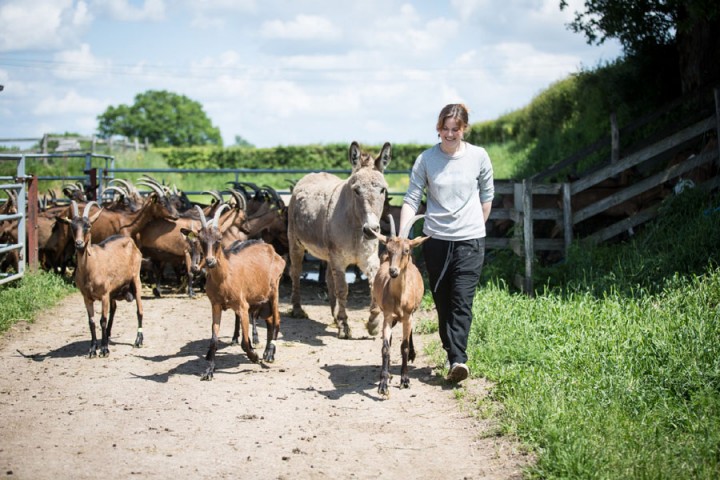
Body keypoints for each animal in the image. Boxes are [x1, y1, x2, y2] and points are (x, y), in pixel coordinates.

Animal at [62, 201, 146, 358]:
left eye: (88, 225)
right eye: (72, 226)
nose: (79, 243)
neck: (91, 267)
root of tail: (130, 240)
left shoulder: (104, 295)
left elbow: (102, 320)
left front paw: (104, 349)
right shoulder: (87, 297)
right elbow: (91, 322)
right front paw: (93, 349)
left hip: (135, 279)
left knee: (139, 310)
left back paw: (138, 340)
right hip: (114, 291)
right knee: (114, 310)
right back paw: (107, 336)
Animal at [180, 204, 286, 380]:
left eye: (219, 239)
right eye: (201, 240)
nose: (210, 261)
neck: (225, 277)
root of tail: (271, 249)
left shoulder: (242, 306)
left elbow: (244, 342)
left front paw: (254, 356)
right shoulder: (216, 305)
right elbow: (214, 340)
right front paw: (209, 371)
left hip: (274, 290)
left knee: (277, 319)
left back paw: (270, 354)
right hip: (261, 299)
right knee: (270, 320)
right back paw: (266, 352)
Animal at [372, 214, 428, 398]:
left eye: (406, 250)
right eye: (388, 250)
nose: (393, 272)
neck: (399, 299)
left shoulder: (408, 316)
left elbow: (403, 347)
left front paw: (405, 380)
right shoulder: (388, 316)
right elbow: (385, 347)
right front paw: (383, 383)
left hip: (410, 316)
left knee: (409, 335)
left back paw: (412, 354)